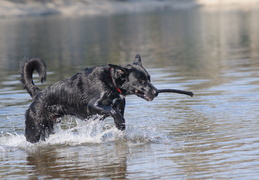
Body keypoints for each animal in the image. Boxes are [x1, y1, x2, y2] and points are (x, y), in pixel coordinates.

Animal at [21, 54, 193, 143]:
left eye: (149, 78)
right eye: (141, 81)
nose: (156, 92)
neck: (112, 82)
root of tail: (38, 94)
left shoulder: (120, 104)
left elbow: (117, 113)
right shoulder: (93, 106)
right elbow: (112, 111)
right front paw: (120, 122)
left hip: (48, 127)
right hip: (34, 128)